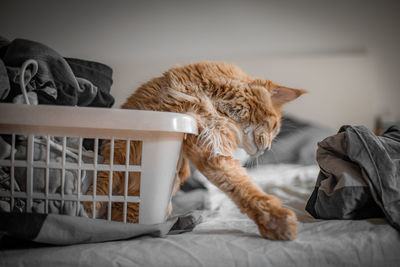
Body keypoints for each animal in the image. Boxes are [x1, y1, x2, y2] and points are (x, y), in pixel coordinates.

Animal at [86, 61, 304, 242]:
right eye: (274, 127)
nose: (267, 148)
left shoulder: (211, 150)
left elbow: (241, 187)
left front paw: (272, 222)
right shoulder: (122, 145)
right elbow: (103, 181)